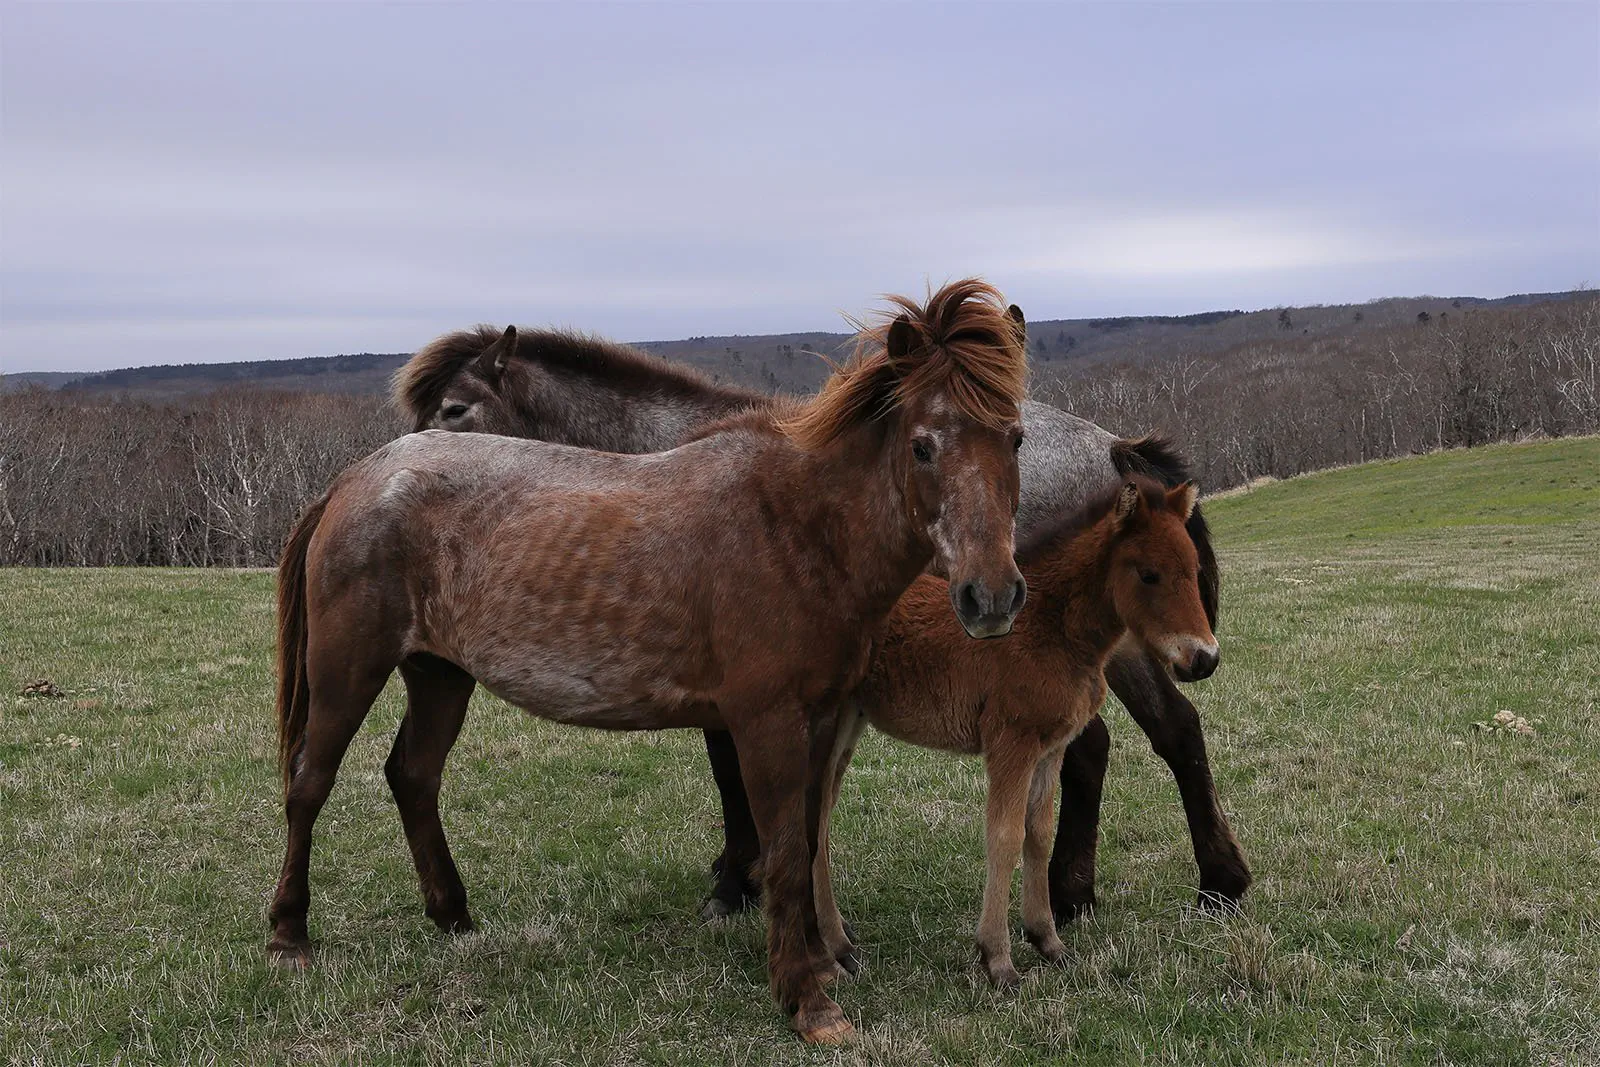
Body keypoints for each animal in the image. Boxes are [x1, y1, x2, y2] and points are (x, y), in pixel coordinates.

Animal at [270, 281, 1030, 1043]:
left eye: (1016, 437)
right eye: (922, 445)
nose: (990, 595)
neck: (796, 523)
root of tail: (356, 478)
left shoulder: (821, 721)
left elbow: (809, 840)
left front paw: (818, 962)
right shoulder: (765, 724)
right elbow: (784, 850)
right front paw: (807, 1000)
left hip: (440, 675)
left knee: (414, 774)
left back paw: (453, 916)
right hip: (347, 669)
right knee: (310, 782)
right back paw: (289, 936)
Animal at [396, 308, 1248, 927]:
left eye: (454, 408)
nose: (397, 477)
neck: (666, 456)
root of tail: (1111, 446)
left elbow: (729, 774)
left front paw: (736, 882)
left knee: (1145, 737)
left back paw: (1183, 883)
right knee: (1134, 739)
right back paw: (1121, 889)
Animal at [812, 470, 1209, 991]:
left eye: (1196, 569)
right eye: (1148, 574)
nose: (1203, 658)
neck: (1048, 626)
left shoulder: (1051, 747)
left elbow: (1037, 831)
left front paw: (1047, 940)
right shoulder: (1011, 744)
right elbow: (1003, 835)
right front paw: (997, 959)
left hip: (849, 723)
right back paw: (833, 948)